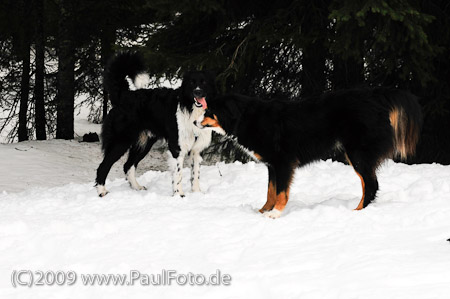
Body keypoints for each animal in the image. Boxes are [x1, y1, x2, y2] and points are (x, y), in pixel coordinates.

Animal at [95, 52, 216, 198]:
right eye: (192, 83)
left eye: (204, 82)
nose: (197, 92)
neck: (190, 108)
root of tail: (125, 95)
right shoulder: (177, 147)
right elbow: (178, 173)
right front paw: (179, 195)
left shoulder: (197, 149)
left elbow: (196, 174)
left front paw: (197, 193)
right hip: (121, 141)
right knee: (103, 166)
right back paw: (102, 191)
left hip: (143, 143)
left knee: (128, 165)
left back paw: (136, 187)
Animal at [196, 88, 422, 218]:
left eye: (208, 112)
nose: (195, 122)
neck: (247, 117)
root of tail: (376, 97)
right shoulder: (272, 164)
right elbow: (270, 191)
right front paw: (263, 211)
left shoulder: (283, 161)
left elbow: (281, 192)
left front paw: (275, 214)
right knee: (369, 184)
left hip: (357, 153)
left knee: (371, 184)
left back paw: (357, 212)